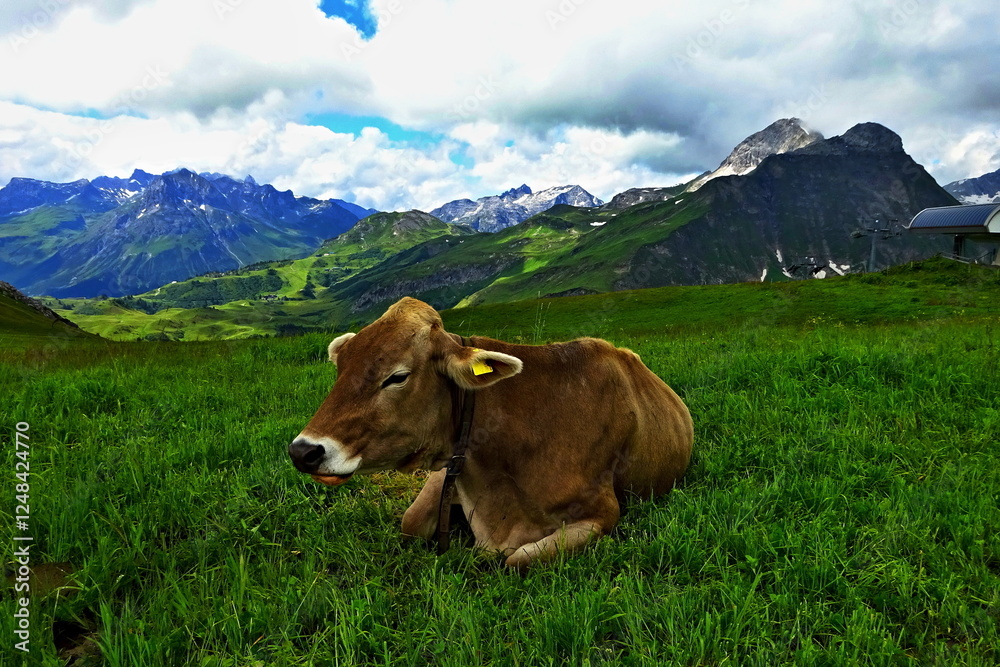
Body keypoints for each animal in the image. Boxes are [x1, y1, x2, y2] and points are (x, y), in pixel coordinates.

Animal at [287, 297, 693, 568]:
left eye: (397, 377)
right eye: (340, 369)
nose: (303, 451)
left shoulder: (602, 513)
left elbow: (518, 560)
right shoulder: (450, 469)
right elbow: (410, 522)